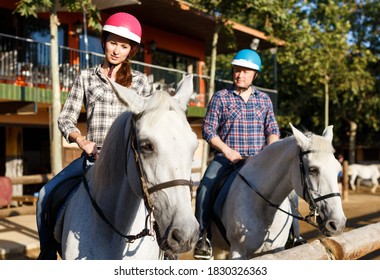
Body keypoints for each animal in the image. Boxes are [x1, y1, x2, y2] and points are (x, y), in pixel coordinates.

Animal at [211, 123, 348, 260]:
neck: (263, 209)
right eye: (313, 170)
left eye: (338, 169)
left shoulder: (278, 250)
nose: (338, 224)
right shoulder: (238, 252)